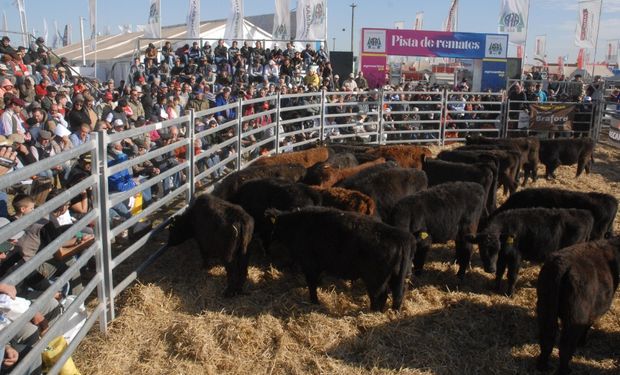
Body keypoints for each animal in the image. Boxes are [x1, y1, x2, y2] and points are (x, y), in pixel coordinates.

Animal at [266, 207, 414, 312]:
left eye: (275, 227)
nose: (270, 245)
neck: (297, 226)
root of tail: (400, 236)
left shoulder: (309, 264)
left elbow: (311, 284)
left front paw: (314, 301)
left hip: (376, 280)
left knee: (380, 296)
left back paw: (373, 312)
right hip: (399, 276)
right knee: (398, 294)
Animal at [536, 238, 616, 375]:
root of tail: (562, 265)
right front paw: (582, 342)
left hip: (545, 307)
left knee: (547, 338)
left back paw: (542, 366)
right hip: (574, 318)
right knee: (566, 346)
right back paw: (565, 370)